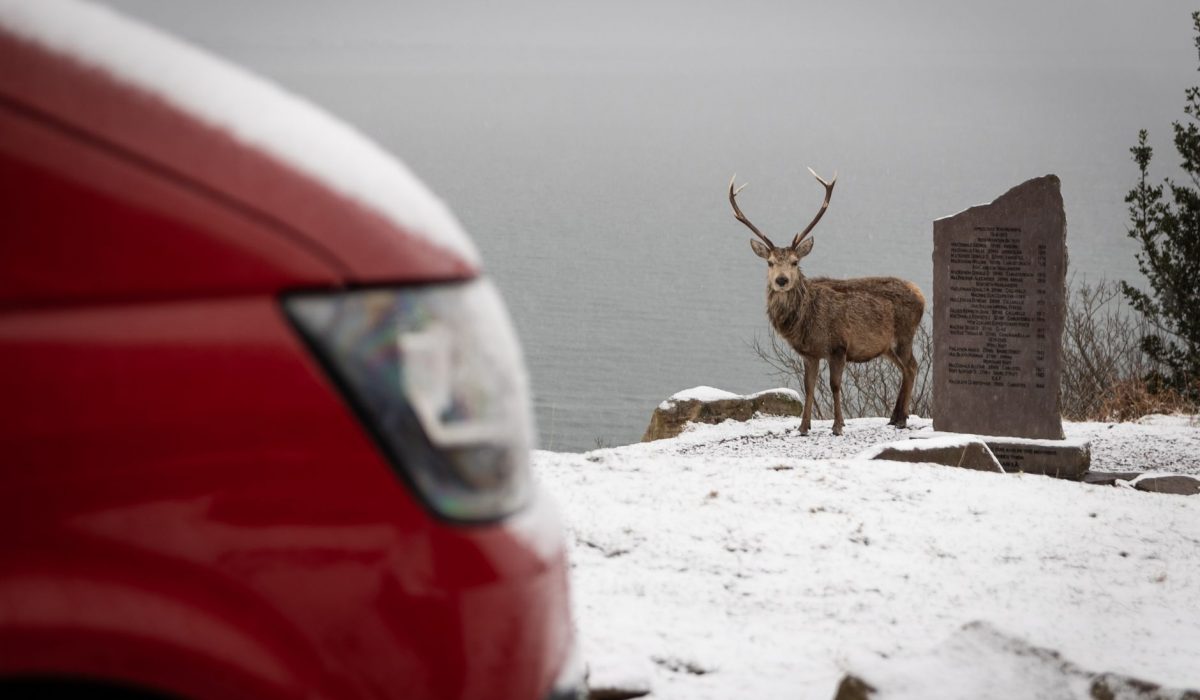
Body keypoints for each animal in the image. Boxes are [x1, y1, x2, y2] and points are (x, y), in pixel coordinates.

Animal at [729, 168, 925, 436]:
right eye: (769, 262)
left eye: (795, 262)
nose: (781, 280)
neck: (806, 322)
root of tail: (922, 295)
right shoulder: (809, 353)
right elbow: (808, 386)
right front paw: (803, 426)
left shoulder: (838, 345)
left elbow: (834, 385)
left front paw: (838, 425)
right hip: (887, 347)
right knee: (905, 369)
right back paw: (894, 417)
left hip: (905, 334)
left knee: (912, 367)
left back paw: (902, 419)